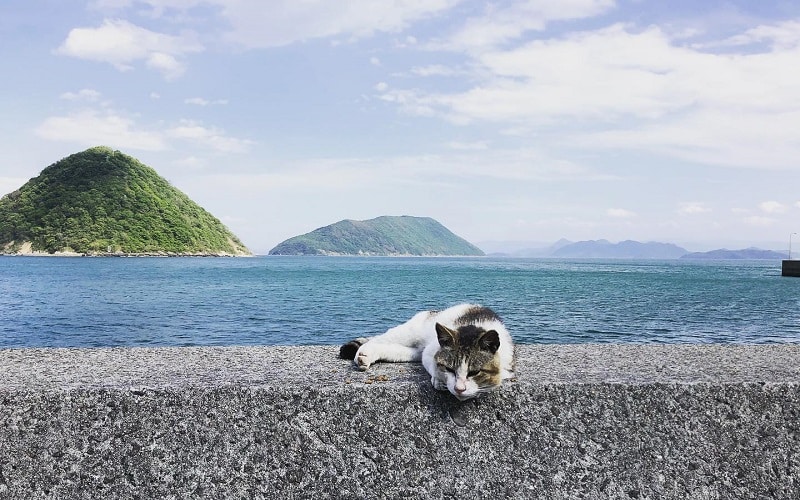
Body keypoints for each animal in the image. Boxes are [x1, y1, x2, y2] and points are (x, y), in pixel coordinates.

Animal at [340, 302, 516, 400]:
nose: (459, 389)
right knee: (378, 338)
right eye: (450, 369)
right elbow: (433, 364)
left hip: (412, 351)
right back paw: (363, 354)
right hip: (409, 332)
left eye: (474, 372)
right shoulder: (430, 352)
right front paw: (438, 379)